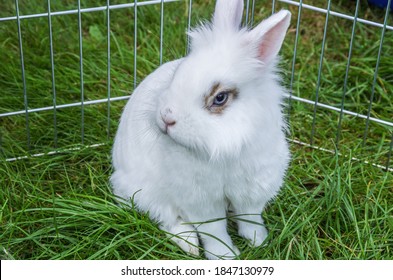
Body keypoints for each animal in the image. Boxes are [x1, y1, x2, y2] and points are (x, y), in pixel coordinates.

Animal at [109, 0, 288, 260]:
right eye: (178, 73)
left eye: (220, 97)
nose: (166, 117)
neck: (226, 148)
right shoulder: (201, 201)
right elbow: (214, 231)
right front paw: (225, 256)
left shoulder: (253, 189)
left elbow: (250, 218)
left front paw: (259, 241)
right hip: (144, 192)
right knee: (168, 219)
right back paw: (190, 245)